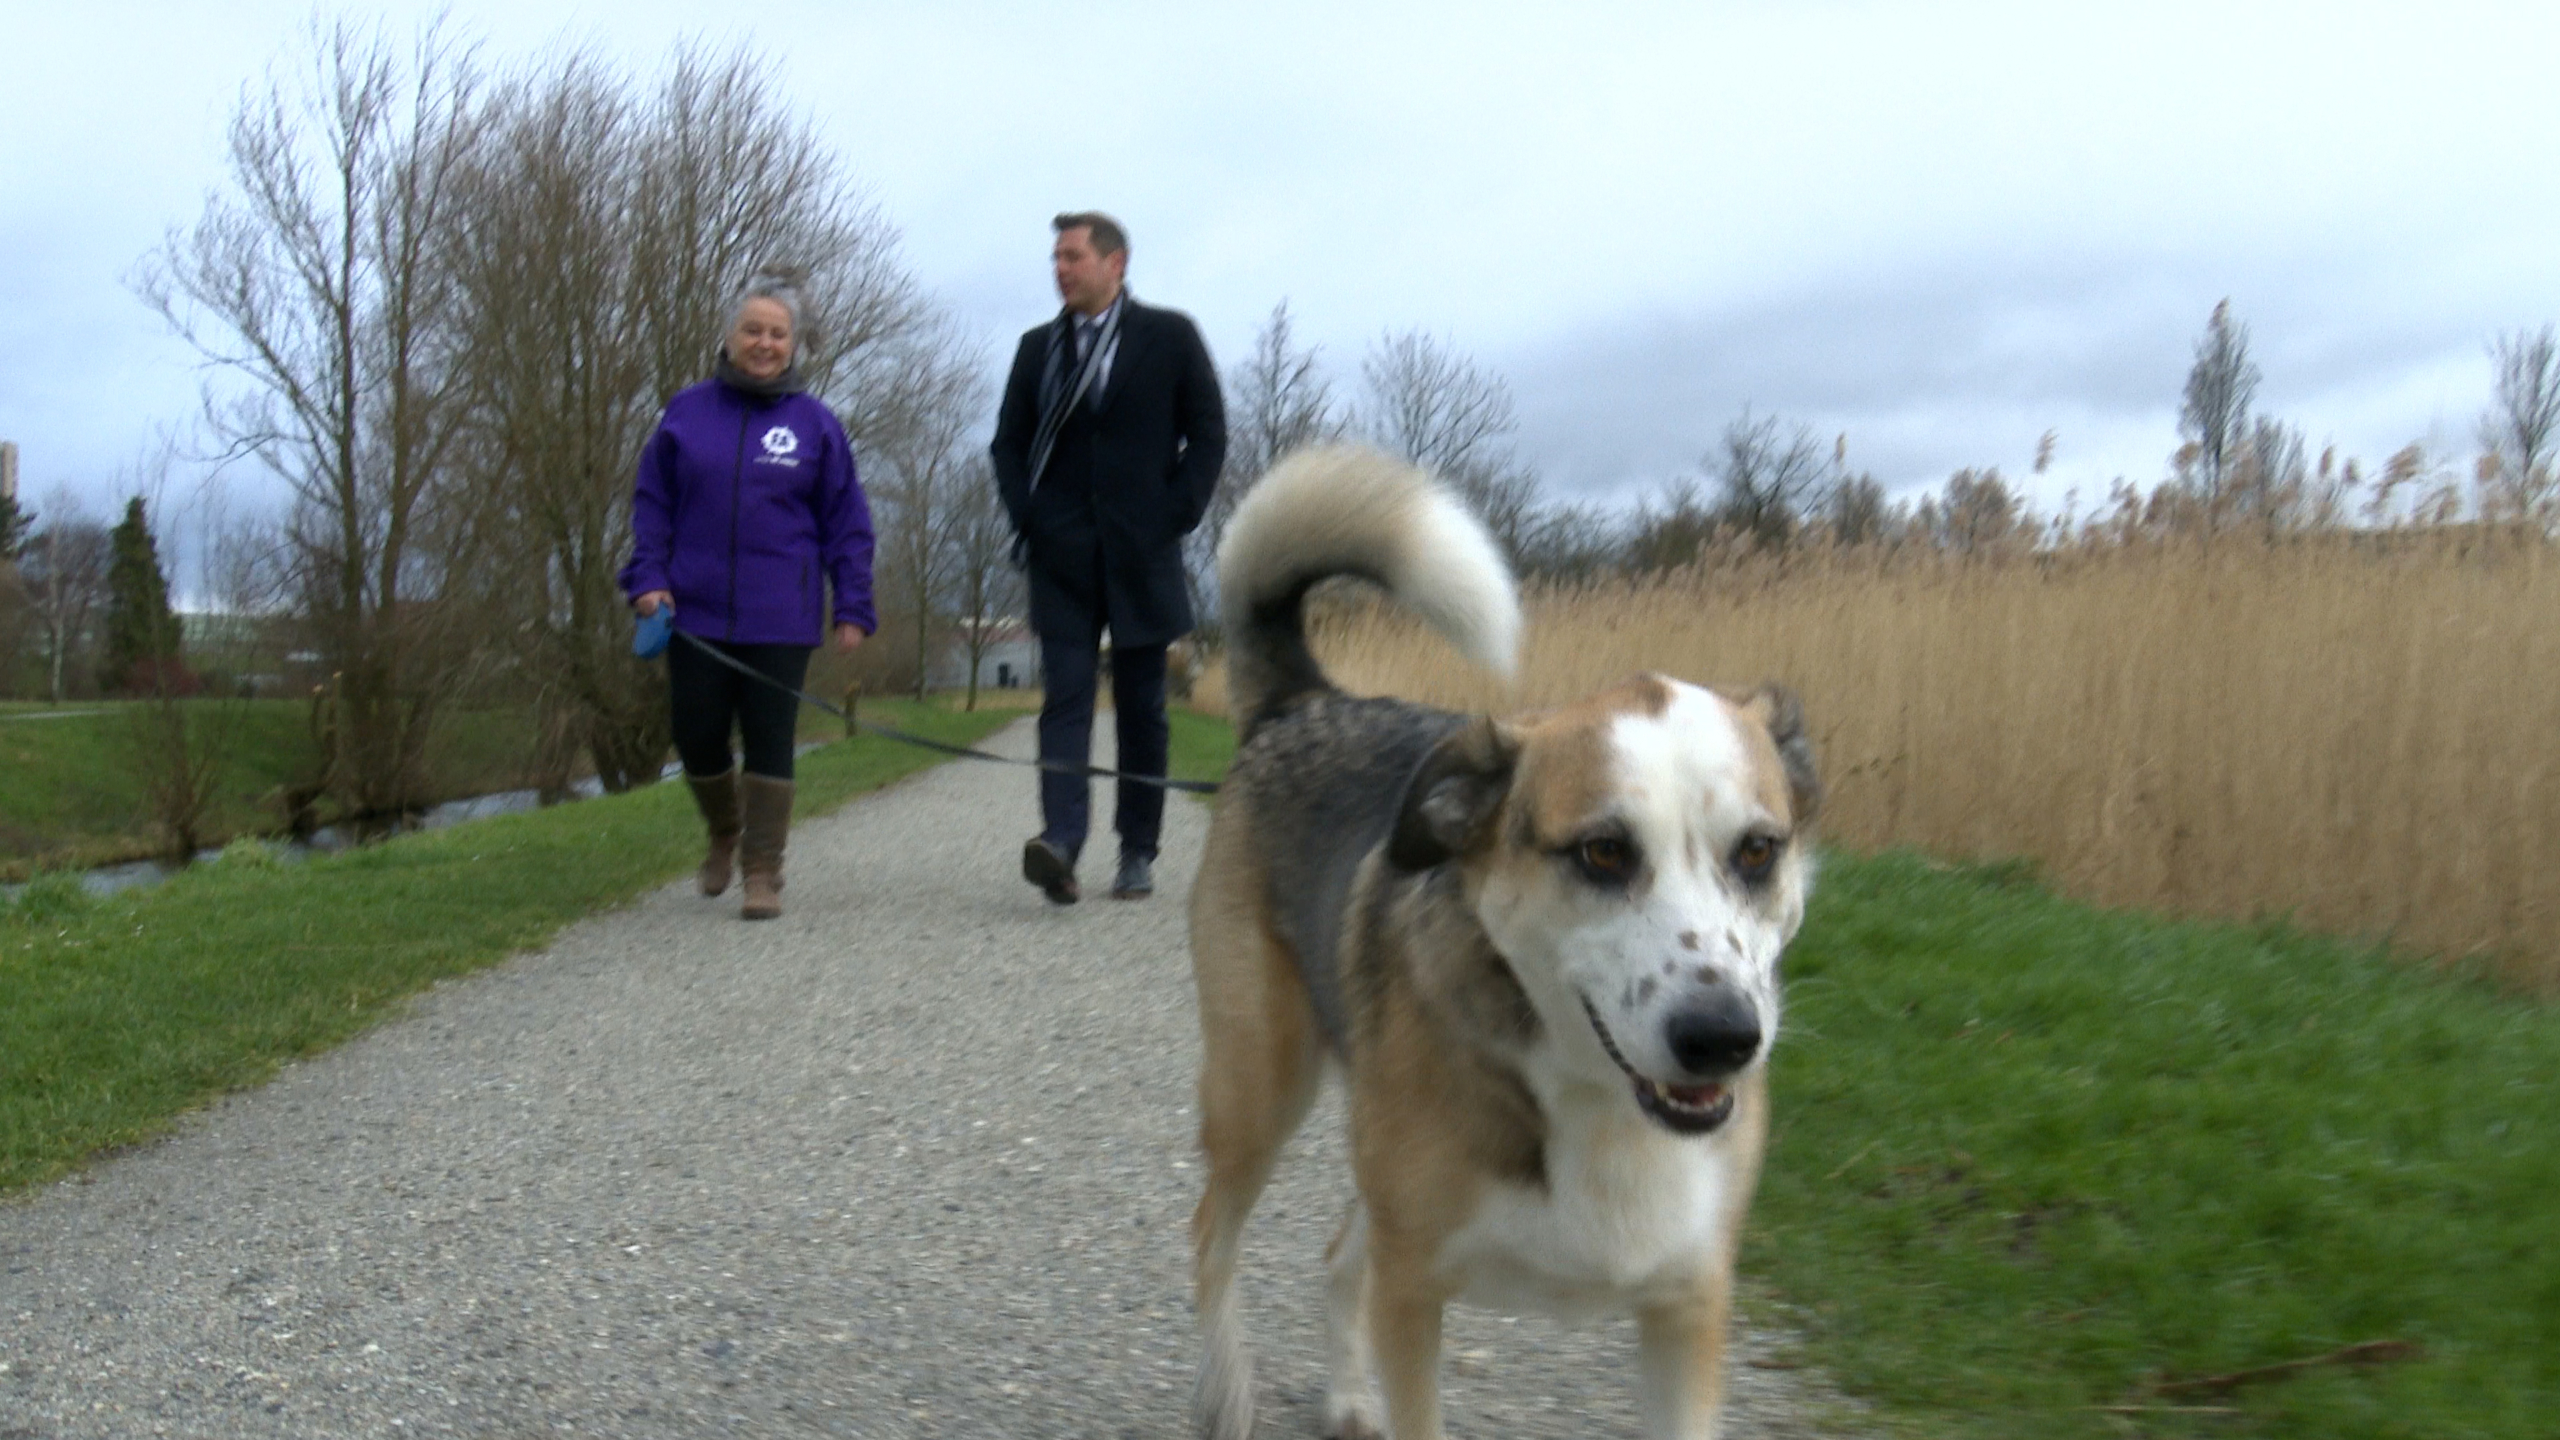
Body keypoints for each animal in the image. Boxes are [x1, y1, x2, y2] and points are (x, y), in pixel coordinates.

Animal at [1192, 445, 1822, 1434]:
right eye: (1603, 852)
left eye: (1758, 850)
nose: (1723, 1038)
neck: (1596, 1101)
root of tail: (1305, 705)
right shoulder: (1414, 1294)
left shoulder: (1689, 1307)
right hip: (1259, 1089)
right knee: (1212, 1234)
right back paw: (1225, 1387)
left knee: (1339, 1252)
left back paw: (1346, 1396)